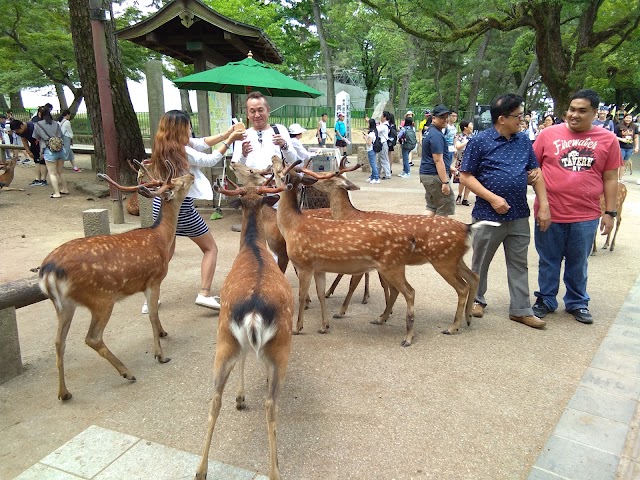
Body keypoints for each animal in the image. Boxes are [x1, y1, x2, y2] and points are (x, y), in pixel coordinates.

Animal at [37, 163, 192, 400]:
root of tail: (48, 272)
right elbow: (152, 314)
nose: (191, 175)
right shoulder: (154, 279)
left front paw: (164, 333)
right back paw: (127, 372)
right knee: (92, 338)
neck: (162, 239)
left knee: (58, 342)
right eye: (178, 183)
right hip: (101, 298)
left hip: (64, 305)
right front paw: (160, 354)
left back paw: (64, 393)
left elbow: (155, 314)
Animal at [195, 179, 296, 480]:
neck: (252, 246)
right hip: (280, 346)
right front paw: (241, 396)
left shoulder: (238, 343)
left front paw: (239, 397)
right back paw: (275, 470)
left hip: (224, 339)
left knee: (215, 399)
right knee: (270, 404)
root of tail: (252, 311)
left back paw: (200, 470)